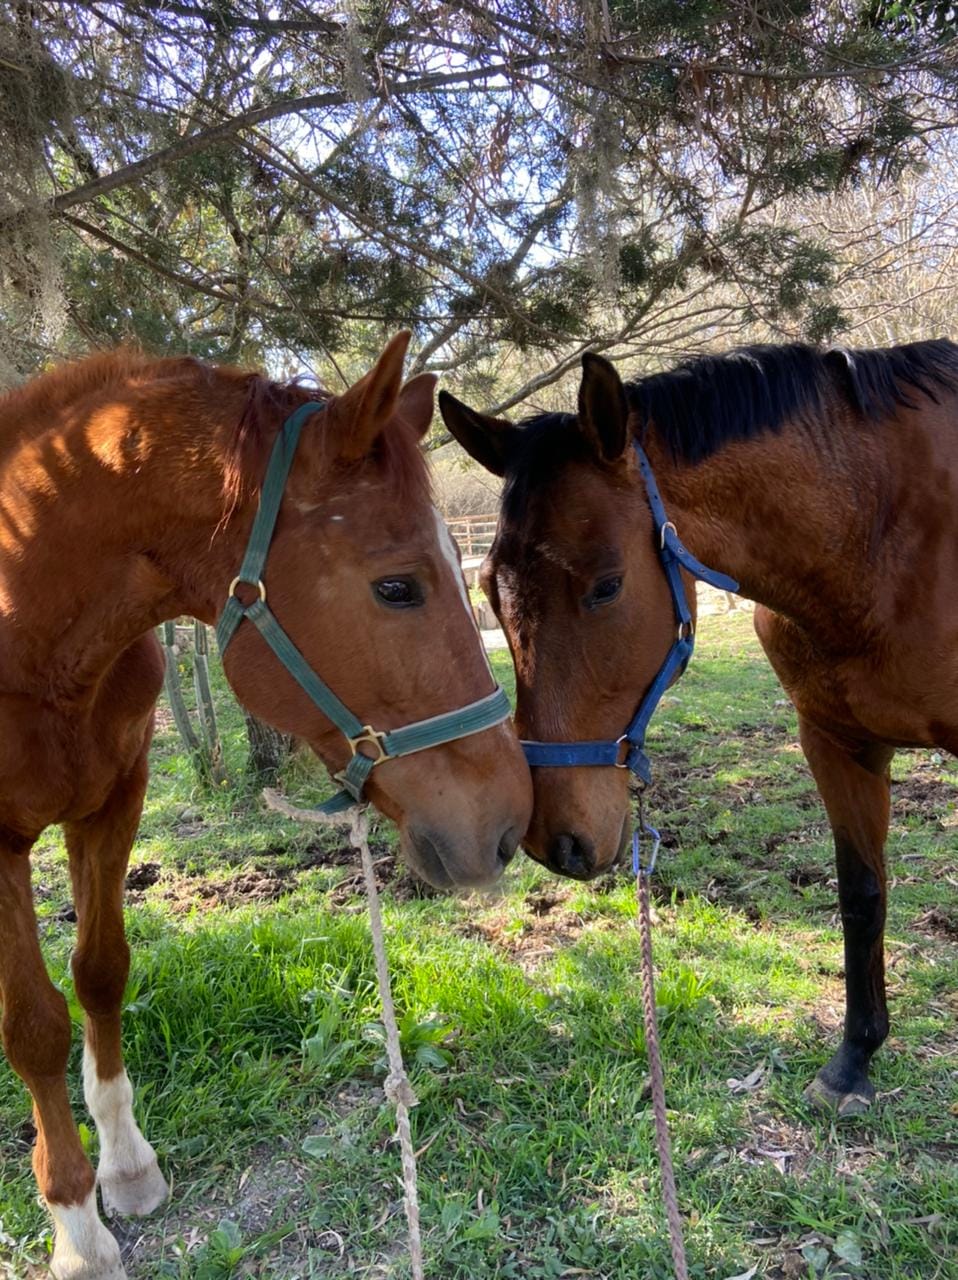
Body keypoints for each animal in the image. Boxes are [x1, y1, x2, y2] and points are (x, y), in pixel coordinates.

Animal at [0, 331, 532, 1280]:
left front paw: (126, 1166)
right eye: (397, 587)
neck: (30, 631)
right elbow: (32, 1025)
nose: (509, 823)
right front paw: (77, 1227)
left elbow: (101, 973)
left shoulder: (115, 803)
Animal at [439, 337, 958, 1118]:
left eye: (607, 586)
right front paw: (853, 1060)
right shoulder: (837, 745)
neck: (881, 537)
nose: (556, 841)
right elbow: (862, 896)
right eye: (488, 592)